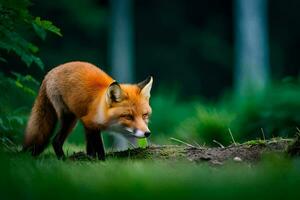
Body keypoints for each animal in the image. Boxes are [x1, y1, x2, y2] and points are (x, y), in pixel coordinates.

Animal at [23, 61, 154, 160]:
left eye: (144, 115)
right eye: (128, 116)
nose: (147, 133)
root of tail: (50, 72)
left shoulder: (89, 125)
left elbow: (90, 148)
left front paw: (90, 158)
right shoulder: (90, 123)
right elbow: (99, 148)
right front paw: (101, 162)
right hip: (70, 119)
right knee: (56, 141)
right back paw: (63, 160)